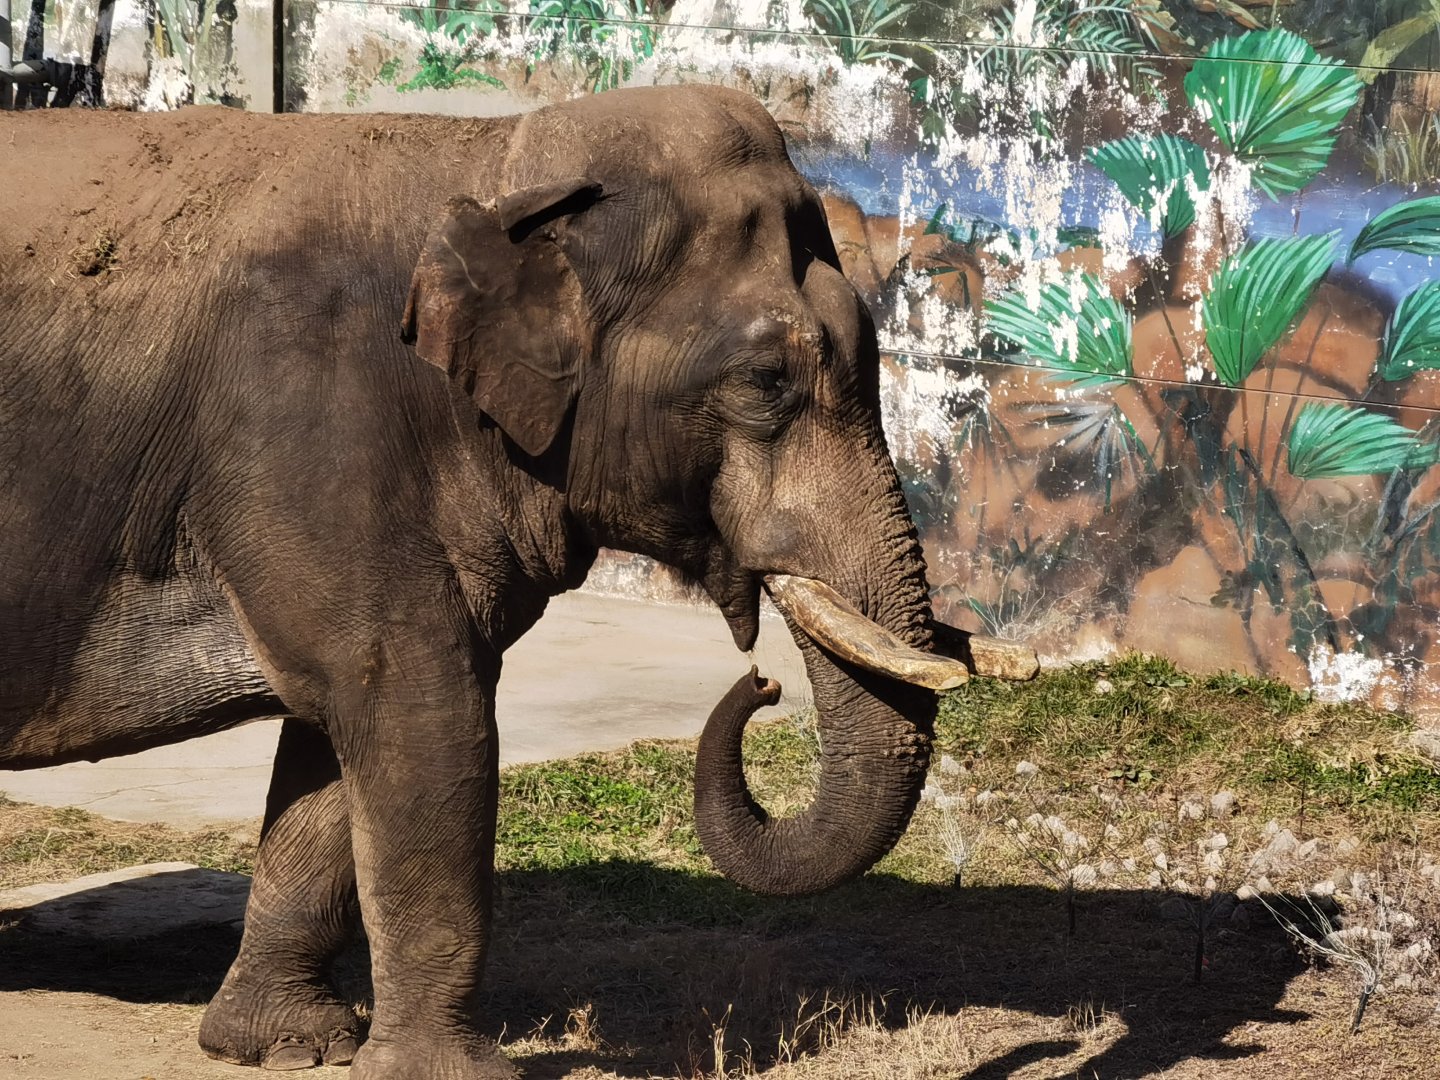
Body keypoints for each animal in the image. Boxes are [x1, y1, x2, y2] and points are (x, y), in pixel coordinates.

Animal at [0, 86, 1029, 1078]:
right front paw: (448, 1072)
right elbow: (421, 715)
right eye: (767, 379)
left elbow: (339, 736)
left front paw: (290, 1047)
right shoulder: (306, 433)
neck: (495, 162)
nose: (763, 683)